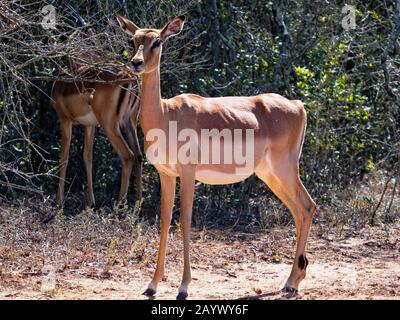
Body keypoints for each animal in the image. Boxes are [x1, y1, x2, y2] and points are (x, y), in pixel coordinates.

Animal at [51, 60, 142, 208]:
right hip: (130, 122)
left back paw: (120, 206)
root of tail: (131, 78)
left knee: (128, 156)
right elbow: (87, 156)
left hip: (110, 126)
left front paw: (59, 203)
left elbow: (64, 158)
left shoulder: (64, 120)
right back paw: (137, 206)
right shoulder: (90, 125)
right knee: (139, 155)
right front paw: (90, 203)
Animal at [115, 15, 316, 300]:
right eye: (133, 40)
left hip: (285, 169)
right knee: (299, 210)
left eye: (157, 41)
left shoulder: (188, 173)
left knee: (307, 207)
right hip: (270, 175)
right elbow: (164, 221)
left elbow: (185, 221)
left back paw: (291, 282)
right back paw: (293, 281)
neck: (166, 115)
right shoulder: (166, 173)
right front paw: (152, 285)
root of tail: (297, 105)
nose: (136, 63)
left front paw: (184, 287)